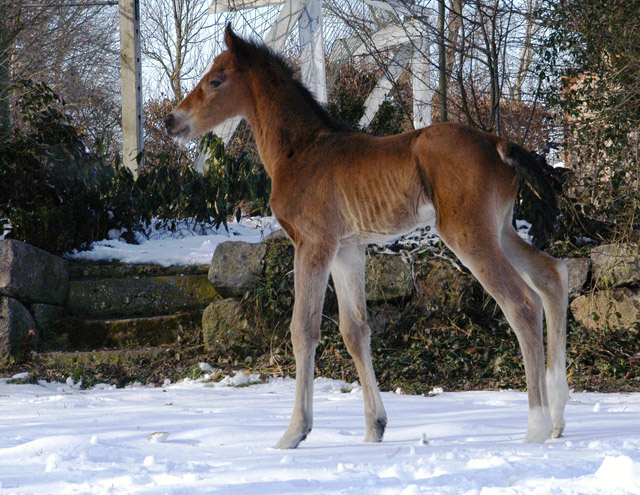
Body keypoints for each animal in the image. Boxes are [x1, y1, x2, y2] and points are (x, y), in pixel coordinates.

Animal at [166, 25, 568, 452]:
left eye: (216, 81)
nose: (171, 121)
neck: (301, 151)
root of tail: (499, 144)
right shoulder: (348, 249)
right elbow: (355, 330)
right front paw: (375, 428)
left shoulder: (314, 244)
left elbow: (303, 329)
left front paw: (293, 433)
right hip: (501, 228)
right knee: (552, 275)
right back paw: (559, 415)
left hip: (468, 232)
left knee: (521, 303)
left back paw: (537, 426)